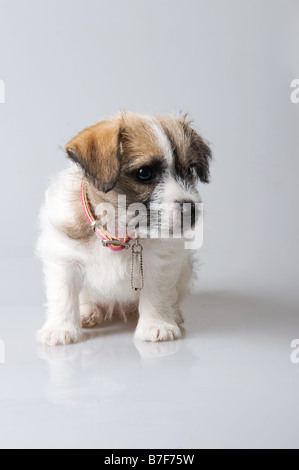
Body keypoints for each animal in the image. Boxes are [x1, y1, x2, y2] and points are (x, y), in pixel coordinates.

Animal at [36, 110, 212, 346]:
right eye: (144, 173)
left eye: (190, 169)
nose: (191, 210)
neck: (119, 231)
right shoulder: (64, 259)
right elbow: (63, 296)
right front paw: (60, 328)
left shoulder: (159, 264)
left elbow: (156, 295)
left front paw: (156, 324)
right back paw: (87, 312)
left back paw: (173, 313)